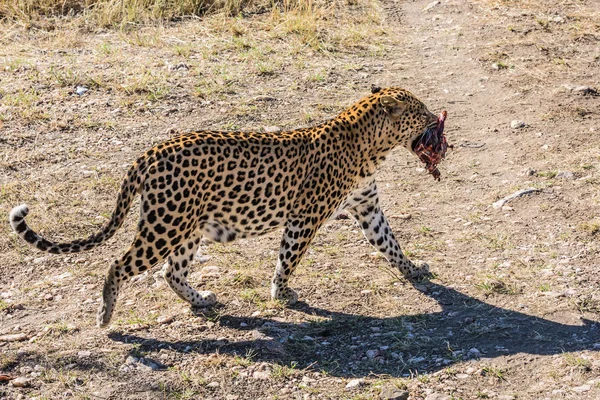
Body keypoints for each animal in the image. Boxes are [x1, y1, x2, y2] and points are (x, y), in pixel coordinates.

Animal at [7, 86, 442, 326]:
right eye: (420, 112)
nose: (436, 119)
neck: (373, 148)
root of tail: (151, 151)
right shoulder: (304, 217)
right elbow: (289, 257)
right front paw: (281, 293)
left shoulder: (367, 207)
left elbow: (390, 243)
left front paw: (413, 269)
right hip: (164, 226)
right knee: (119, 265)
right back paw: (105, 316)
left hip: (185, 227)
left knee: (171, 272)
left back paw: (202, 300)